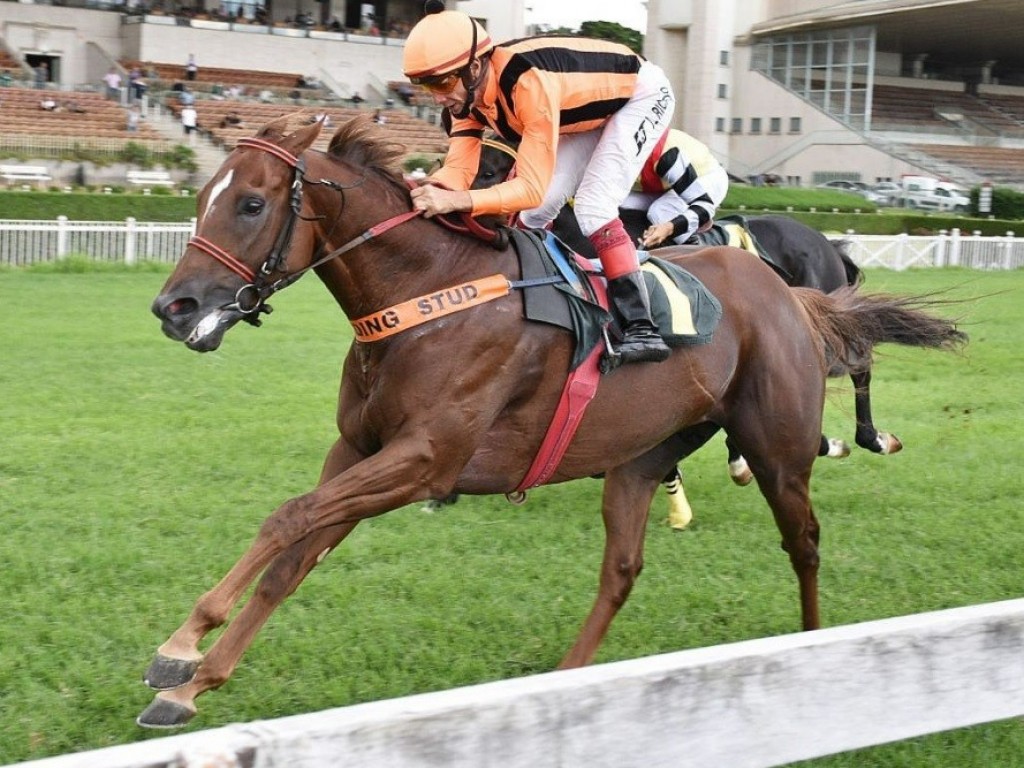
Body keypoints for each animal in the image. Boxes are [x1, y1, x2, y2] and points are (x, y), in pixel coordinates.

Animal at [140, 117, 962, 729]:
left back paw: (817, 634)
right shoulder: (360, 451)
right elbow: (293, 550)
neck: (428, 292)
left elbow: (286, 519)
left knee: (806, 539)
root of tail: (789, 293)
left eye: (251, 203)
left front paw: (181, 649)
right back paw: (566, 679)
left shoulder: (425, 459)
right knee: (622, 569)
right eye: (202, 197)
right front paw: (191, 681)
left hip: (778, 450)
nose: (173, 307)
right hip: (638, 457)